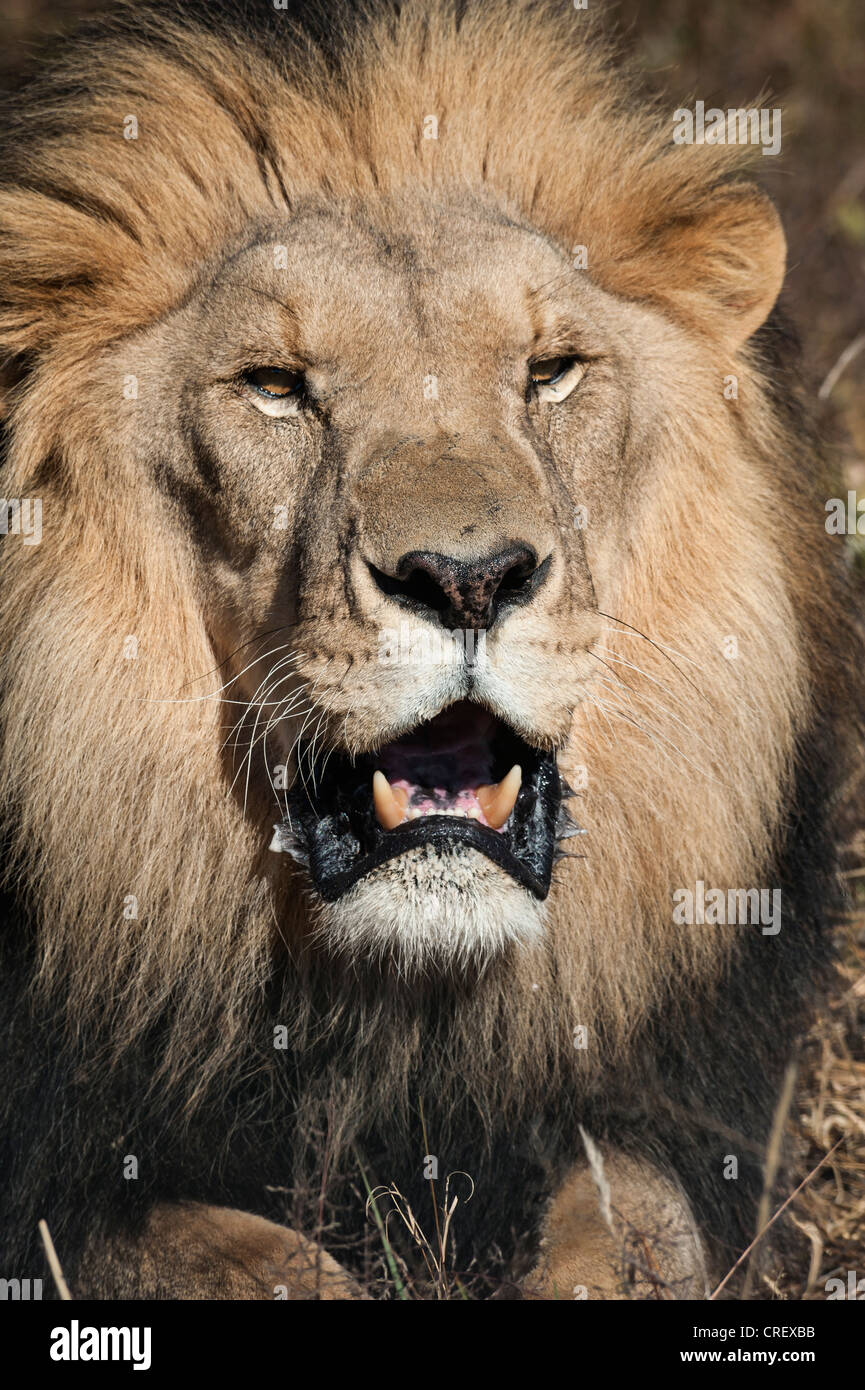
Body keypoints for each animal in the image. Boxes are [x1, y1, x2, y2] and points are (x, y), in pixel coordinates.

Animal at [0, 0, 856, 1301]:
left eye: (551, 371)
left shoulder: (660, 1112)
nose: (468, 579)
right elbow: (241, 1263)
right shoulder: (57, 1183)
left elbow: (634, 1222)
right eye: (274, 387)